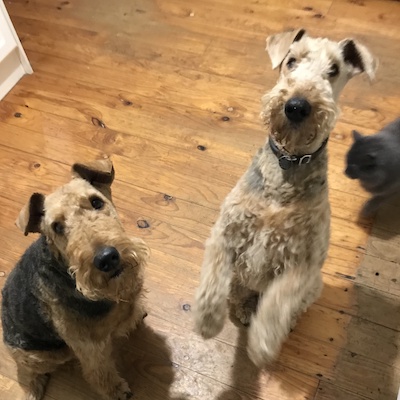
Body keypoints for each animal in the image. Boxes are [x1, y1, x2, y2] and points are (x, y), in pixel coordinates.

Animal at [1, 159, 149, 400]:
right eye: (57, 226)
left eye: (96, 202)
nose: (107, 258)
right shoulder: (90, 347)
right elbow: (99, 373)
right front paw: (117, 391)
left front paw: (136, 314)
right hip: (45, 355)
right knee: (32, 373)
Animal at [194, 28, 377, 367]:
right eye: (291, 61)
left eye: (334, 70)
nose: (297, 106)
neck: (287, 166)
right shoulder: (225, 233)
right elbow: (212, 281)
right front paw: (207, 322)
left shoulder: (302, 263)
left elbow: (278, 302)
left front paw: (262, 346)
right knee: (237, 292)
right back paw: (240, 310)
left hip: (314, 285)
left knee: (287, 307)